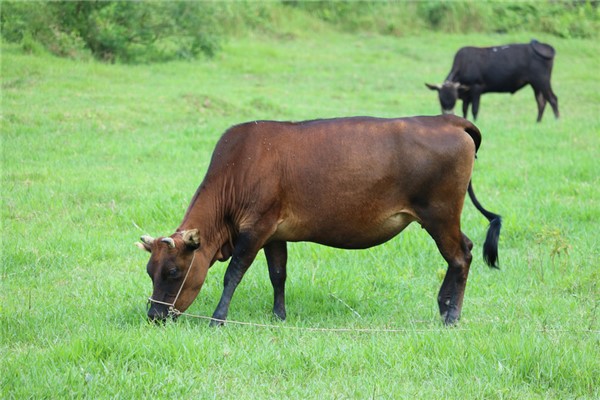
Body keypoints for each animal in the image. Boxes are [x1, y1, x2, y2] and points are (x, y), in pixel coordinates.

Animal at [137, 115, 502, 324]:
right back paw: (443, 306)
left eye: (173, 272)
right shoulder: (274, 233)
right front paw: (279, 317)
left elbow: (233, 274)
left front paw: (218, 318)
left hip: (440, 214)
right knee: (465, 250)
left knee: (460, 257)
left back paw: (452, 315)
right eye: (150, 271)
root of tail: (448, 119)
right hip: (441, 218)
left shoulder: (255, 229)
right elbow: (278, 274)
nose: (154, 315)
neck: (239, 167)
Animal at [424, 40, 560, 122]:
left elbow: (474, 110)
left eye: (453, 98)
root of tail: (542, 45)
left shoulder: (476, 89)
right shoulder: (466, 95)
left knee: (552, 99)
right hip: (535, 84)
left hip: (542, 80)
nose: (447, 113)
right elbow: (464, 110)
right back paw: (538, 122)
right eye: (440, 98)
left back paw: (557, 120)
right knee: (541, 101)